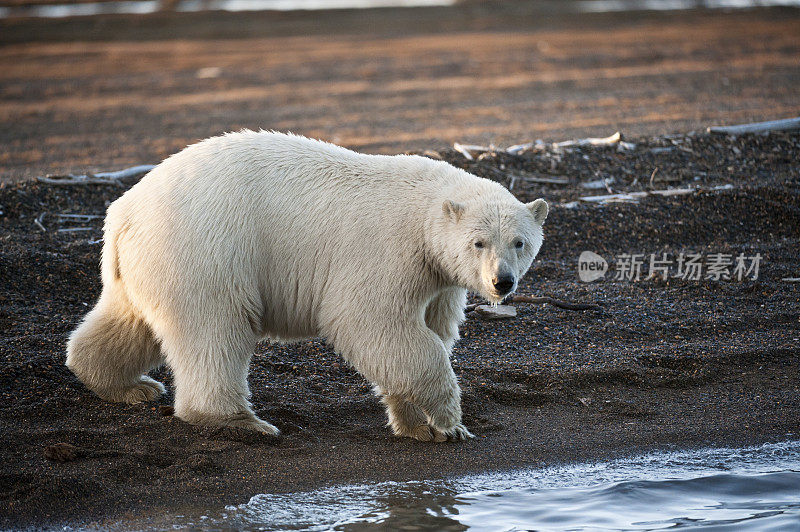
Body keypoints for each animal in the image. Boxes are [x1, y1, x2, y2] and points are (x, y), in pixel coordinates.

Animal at [65, 131, 548, 442]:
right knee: (216, 330)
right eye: (479, 241)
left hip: (148, 264)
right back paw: (241, 422)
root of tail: (124, 212)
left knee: (128, 322)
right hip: (205, 251)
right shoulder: (388, 250)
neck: (425, 209)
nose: (502, 281)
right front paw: (450, 420)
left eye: (519, 242)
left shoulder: (439, 279)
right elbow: (373, 323)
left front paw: (416, 425)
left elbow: (429, 330)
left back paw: (125, 384)